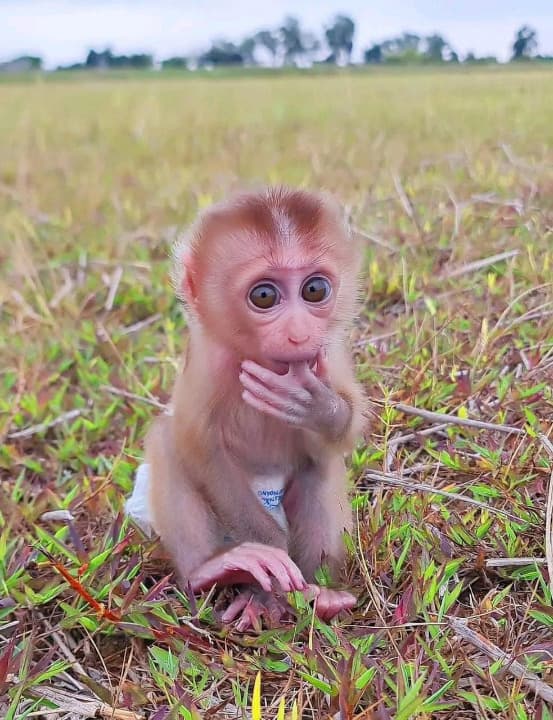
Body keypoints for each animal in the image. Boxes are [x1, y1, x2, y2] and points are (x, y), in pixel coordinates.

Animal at [127, 186, 366, 629]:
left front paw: (315, 406)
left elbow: (345, 430)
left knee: (319, 464)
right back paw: (215, 572)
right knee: (167, 442)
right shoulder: (209, 361)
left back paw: (316, 593)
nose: (299, 334)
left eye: (314, 290)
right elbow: (200, 449)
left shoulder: (328, 351)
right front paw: (264, 570)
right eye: (264, 296)